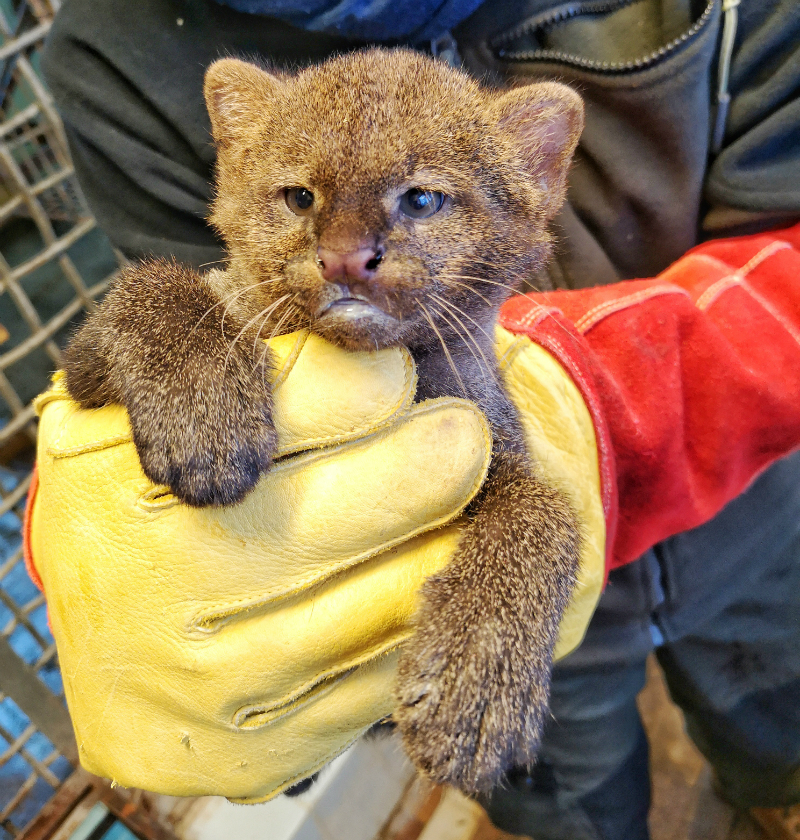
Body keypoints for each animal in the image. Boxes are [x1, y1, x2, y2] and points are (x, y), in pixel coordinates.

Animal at [62, 47, 584, 796]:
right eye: (300, 196)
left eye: (421, 197)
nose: (343, 255)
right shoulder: (82, 368)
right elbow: (154, 284)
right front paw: (206, 415)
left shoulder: (494, 445)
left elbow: (548, 515)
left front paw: (475, 686)